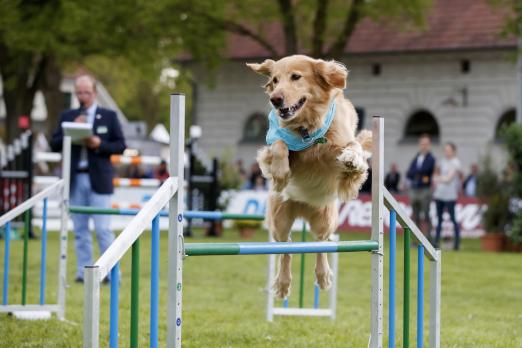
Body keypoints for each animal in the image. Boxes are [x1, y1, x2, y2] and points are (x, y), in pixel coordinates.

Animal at [245, 55, 370, 300]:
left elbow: (354, 147)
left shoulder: (340, 150)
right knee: (286, 247)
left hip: (326, 218)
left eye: (296, 76)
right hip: (280, 219)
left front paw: (352, 158)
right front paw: (281, 174)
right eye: (275, 80)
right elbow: (279, 145)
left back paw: (323, 276)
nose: (275, 100)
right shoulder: (273, 143)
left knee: (321, 243)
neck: (308, 130)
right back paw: (283, 283)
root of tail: (303, 208)